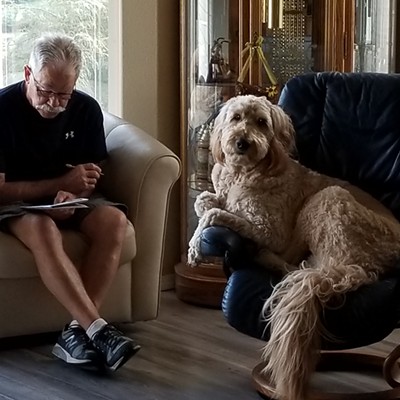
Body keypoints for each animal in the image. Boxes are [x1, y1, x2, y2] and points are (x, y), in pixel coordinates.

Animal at [188, 94, 400, 400]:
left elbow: (213, 213)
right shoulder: (220, 195)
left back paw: (265, 256)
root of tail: (367, 269)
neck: (243, 172)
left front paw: (194, 247)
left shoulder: (270, 229)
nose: (242, 142)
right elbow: (204, 200)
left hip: (327, 200)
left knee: (297, 264)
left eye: (262, 122)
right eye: (236, 118)